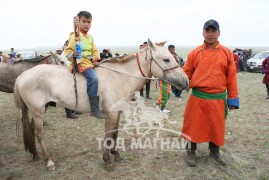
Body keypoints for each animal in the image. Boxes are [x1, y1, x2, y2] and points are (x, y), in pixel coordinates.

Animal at [13, 38, 187, 171]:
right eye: (166, 59)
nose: (186, 81)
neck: (121, 77)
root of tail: (22, 75)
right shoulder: (110, 113)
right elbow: (108, 135)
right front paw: (107, 160)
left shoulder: (118, 112)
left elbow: (115, 133)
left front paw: (115, 153)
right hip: (38, 111)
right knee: (39, 134)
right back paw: (49, 161)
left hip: (41, 109)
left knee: (31, 130)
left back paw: (35, 154)